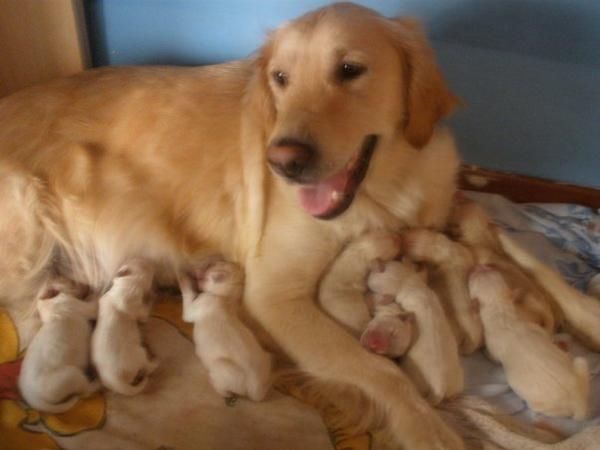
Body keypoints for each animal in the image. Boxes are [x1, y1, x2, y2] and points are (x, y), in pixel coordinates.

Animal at [18, 274, 99, 412]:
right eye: (71, 282)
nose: (89, 286)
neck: (47, 303)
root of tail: (34, 401)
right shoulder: (79, 305)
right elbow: (94, 303)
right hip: (71, 376)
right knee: (85, 391)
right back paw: (97, 383)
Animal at [91, 258, 157, 396]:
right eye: (145, 265)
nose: (153, 263)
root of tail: (116, 383)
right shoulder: (138, 309)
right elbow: (145, 311)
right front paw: (152, 296)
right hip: (140, 354)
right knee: (147, 368)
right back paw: (155, 362)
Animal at [178, 260, 272, 400]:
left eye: (208, 269)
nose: (198, 269)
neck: (226, 298)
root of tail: (255, 392)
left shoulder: (197, 306)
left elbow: (188, 297)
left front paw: (183, 277)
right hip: (266, 357)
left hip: (220, 366)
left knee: (224, 390)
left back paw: (214, 384)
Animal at [468, 266, 592, 420]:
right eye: (490, 271)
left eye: (473, 278)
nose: (480, 266)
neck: (500, 309)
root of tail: (578, 402)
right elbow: (545, 333)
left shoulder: (493, 345)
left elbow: (492, 357)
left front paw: (484, 352)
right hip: (580, 364)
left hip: (545, 406)